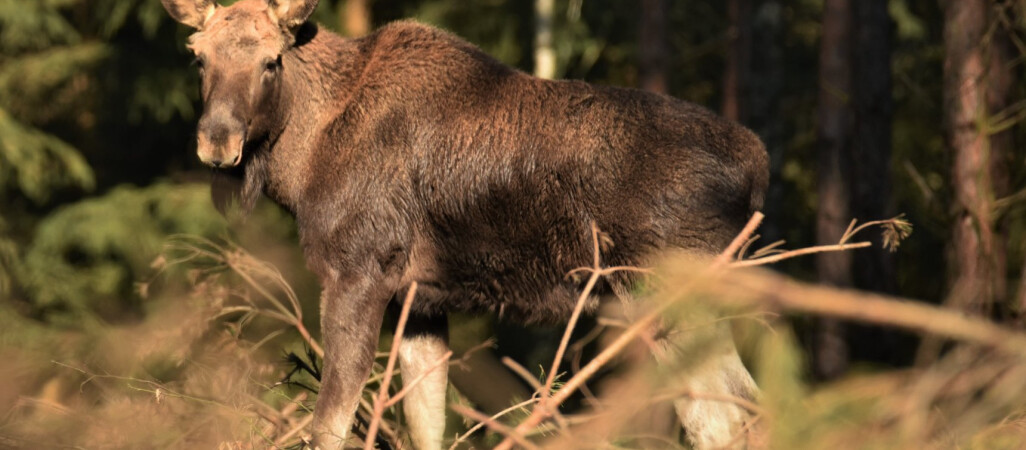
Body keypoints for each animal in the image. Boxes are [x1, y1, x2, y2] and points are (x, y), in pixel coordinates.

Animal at [160, 0, 771, 446]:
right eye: (198, 58)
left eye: (272, 61)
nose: (217, 142)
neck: (305, 154)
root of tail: (758, 168)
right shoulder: (419, 300)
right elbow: (426, 422)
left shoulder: (358, 273)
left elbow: (330, 422)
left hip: (670, 294)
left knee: (739, 414)